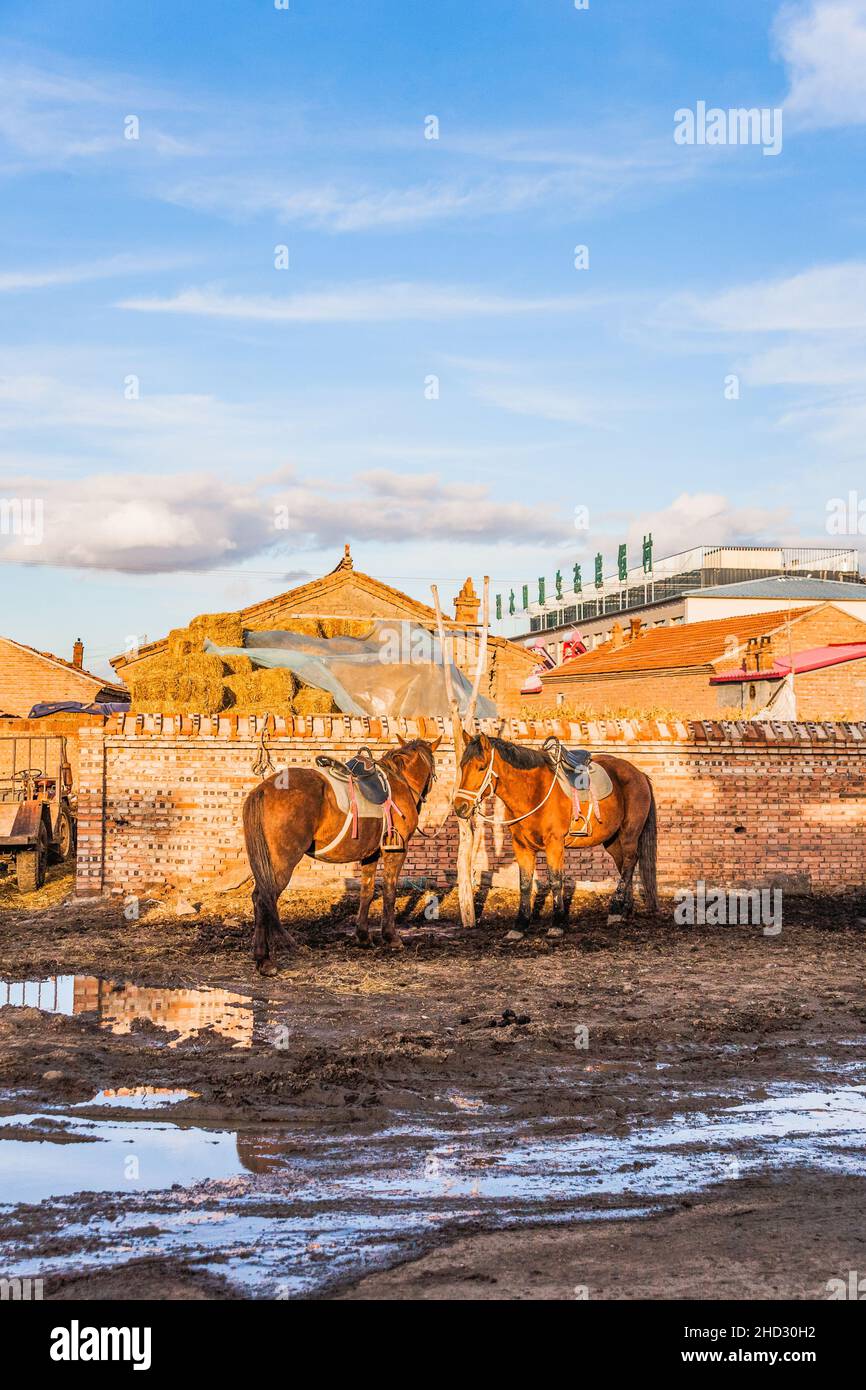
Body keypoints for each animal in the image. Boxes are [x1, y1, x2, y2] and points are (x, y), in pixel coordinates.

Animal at [240, 733, 439, 973]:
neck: (399, 782)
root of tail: (264, 789)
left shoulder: (370, 854)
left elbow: (367, 892)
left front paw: (363, 936)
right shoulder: (396, 851)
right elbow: (389, 892)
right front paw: (391, 938)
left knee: (258, 899)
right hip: (281, 864)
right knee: (264, 899)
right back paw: (265, 960)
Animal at [453, 733, 656, 928]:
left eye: (481, 767)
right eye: (462, 766)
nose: (460, 807)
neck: (534, 791)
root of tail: (639, 774)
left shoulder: (555, 844)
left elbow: (556, 881)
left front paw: (557, 923)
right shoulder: (521, 846)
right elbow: (525, 883)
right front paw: (520, 924)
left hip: (629, 834)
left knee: (630, 862)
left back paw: (615, 908)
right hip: (612, 840)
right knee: (625, 866)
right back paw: (624, 910)